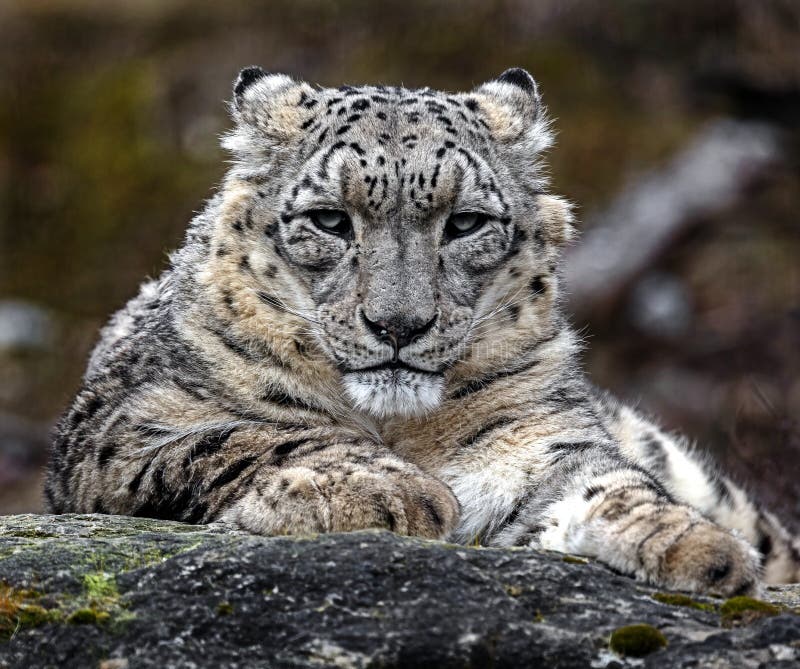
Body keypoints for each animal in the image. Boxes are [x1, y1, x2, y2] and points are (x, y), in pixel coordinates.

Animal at [45, 65, 800, 592]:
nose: (399, 324)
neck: (399, 427)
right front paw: (388, 490)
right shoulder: (121, 427)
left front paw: (695, 546)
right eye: (329, 219)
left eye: (464, 222)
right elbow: (249, 433)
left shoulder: (537, 434)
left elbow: (607, 482)